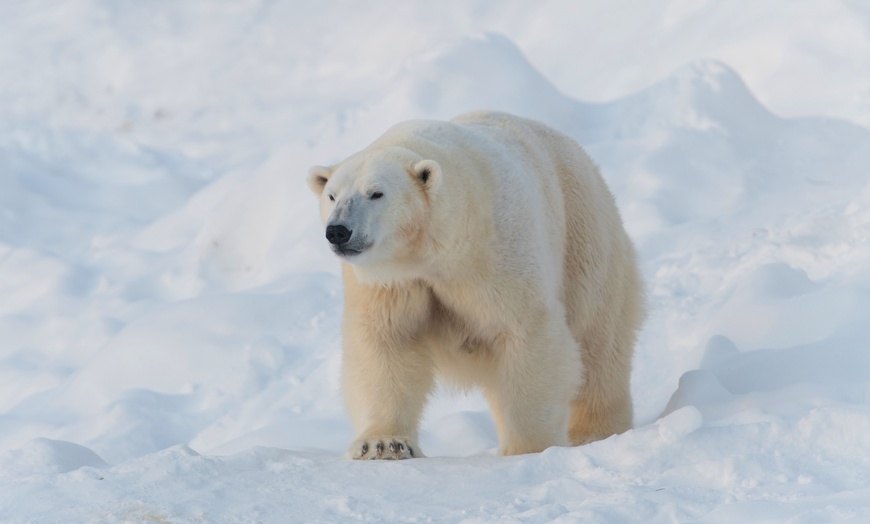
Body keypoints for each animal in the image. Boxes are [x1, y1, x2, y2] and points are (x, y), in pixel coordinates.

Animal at [308, 110, 648, 458]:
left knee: (598, 341)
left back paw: (595, 432)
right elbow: (385, 344)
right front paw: (384, 445)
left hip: (583, 236)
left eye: (376, 193)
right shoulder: (388, 282)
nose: (338, 231)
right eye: (332, 195)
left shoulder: (494, 256)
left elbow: (526, 333)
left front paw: (528, 448)